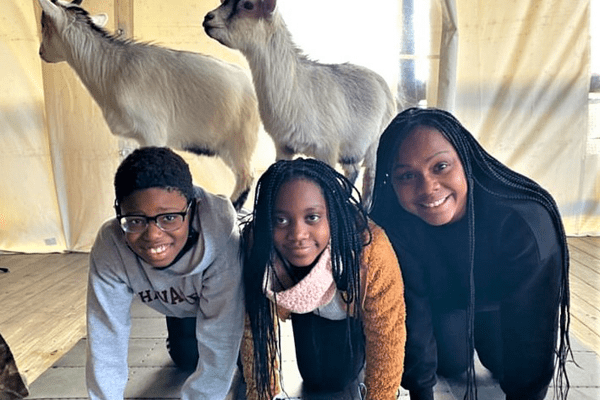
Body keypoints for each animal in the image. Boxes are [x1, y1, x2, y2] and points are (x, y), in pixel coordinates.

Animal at [38, 0, 260, 211]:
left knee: (246, 176)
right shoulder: (136, 137)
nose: (41, 52)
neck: (113, 69)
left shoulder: (152, 133)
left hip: (241, 141)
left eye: (44, 25)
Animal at [204, 0, 396, 206]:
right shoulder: (283, 146)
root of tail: (382, 83)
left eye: (248, 5)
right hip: (351, 150)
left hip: (374, 145)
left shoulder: (327, 149)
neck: (295, 92)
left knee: (369, 178)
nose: (208, 18)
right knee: (353, 172)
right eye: (223, 1)